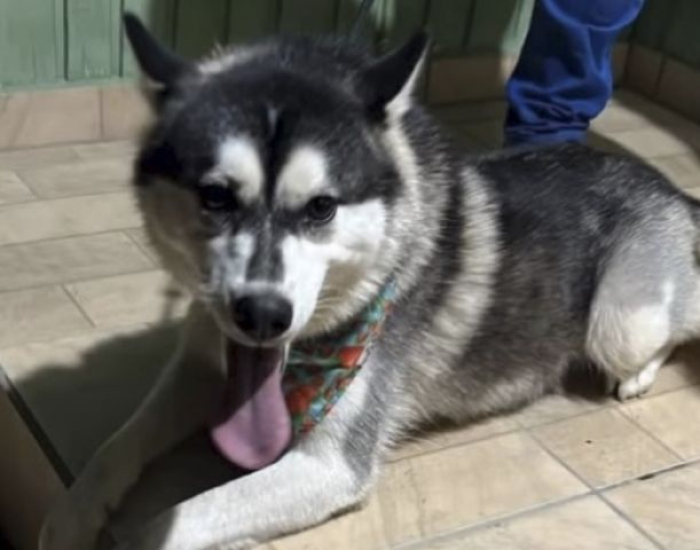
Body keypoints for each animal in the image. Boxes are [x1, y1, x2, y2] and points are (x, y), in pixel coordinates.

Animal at [40, 11, 700, 550]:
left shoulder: (331, 468)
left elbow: (173, 522)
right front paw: (71, 515)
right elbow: (113, 447)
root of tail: (667, 186)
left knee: (668, 329)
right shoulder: (199, 367)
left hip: (620, 323)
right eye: (215, 197)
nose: (263, 315)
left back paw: (638, 376)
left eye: (321, 208)